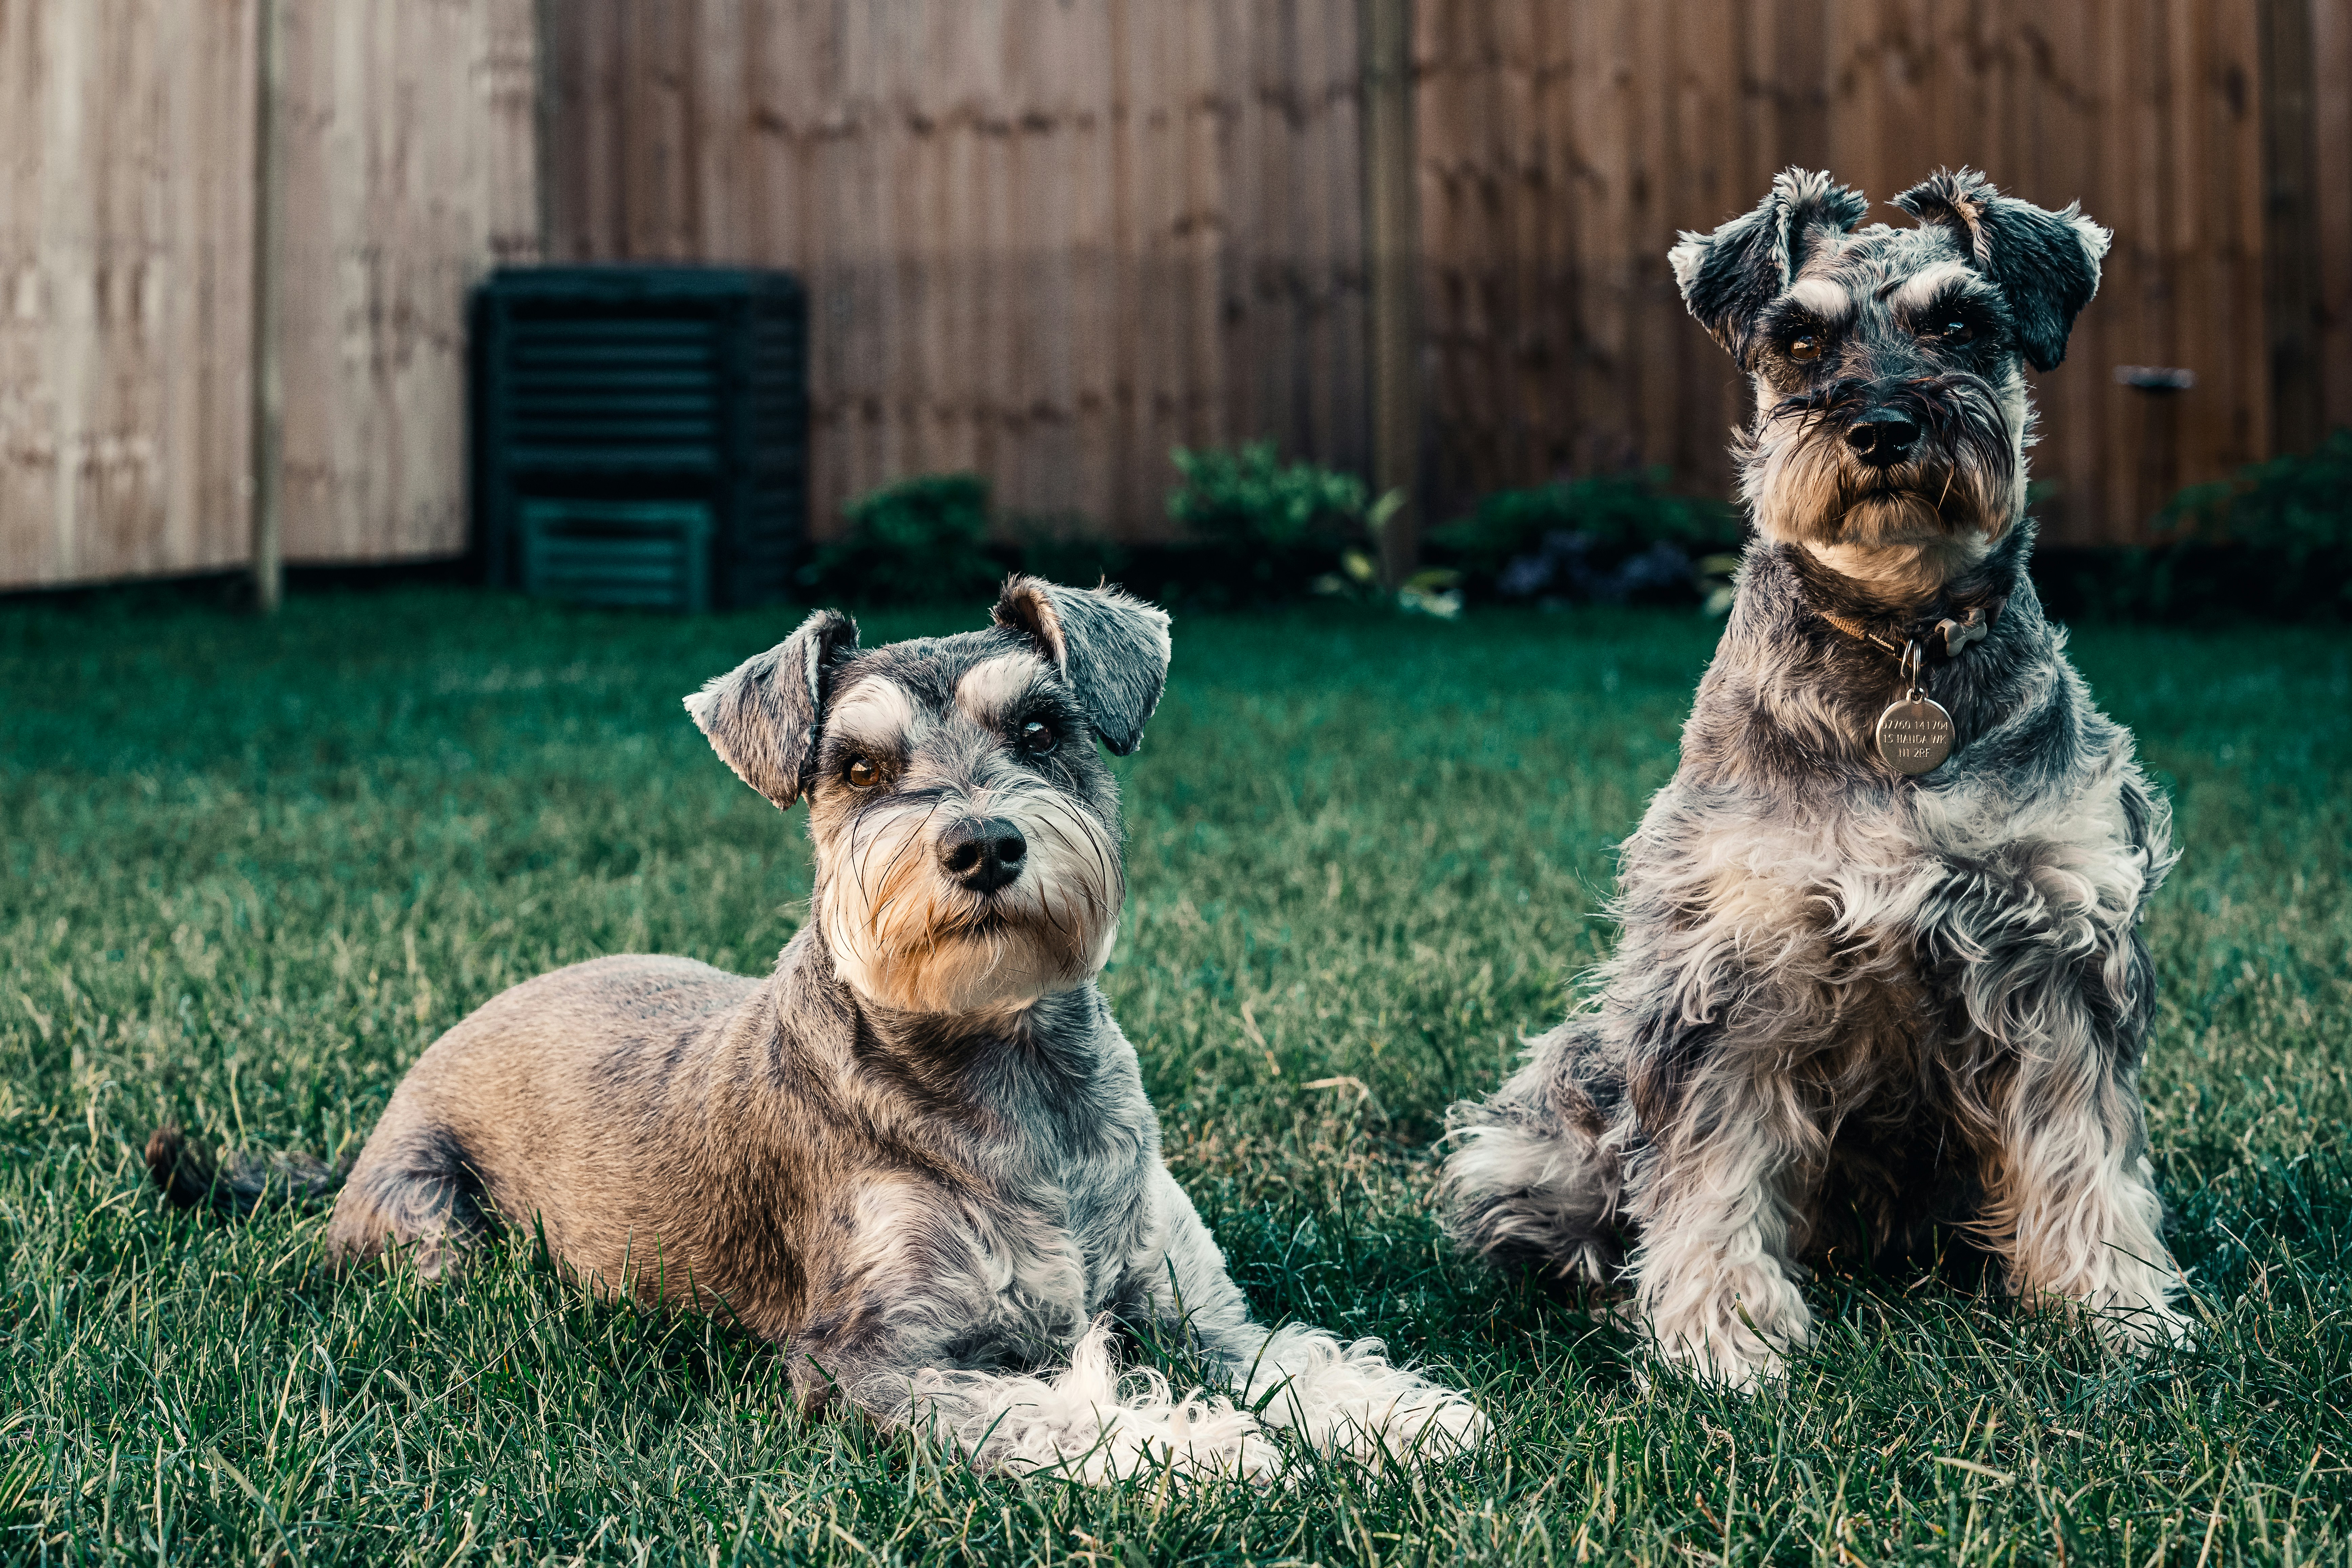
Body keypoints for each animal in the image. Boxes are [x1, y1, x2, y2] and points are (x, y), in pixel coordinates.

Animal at [151, 583, 1468, 1476]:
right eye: (858, 766)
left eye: (1044, 729)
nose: (982, 845)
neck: (1011, 1069)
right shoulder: (868, 1356)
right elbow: (1044, 1408)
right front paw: (1199, 1450)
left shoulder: (1191, 1303)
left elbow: (1288, 1352)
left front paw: (1399, 1412)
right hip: (434, 1232)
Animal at [1439, 171, 2192, 1392]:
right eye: (1799, 338)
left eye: (1959, 326)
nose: (1881, 427)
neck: (1900, 645)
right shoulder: (1730, 965)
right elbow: (1707, 1168)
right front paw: (1721, 1339)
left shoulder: (2058, 952)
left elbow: (2084, 1148)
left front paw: (2113, 1308)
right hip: (1560, 1095)